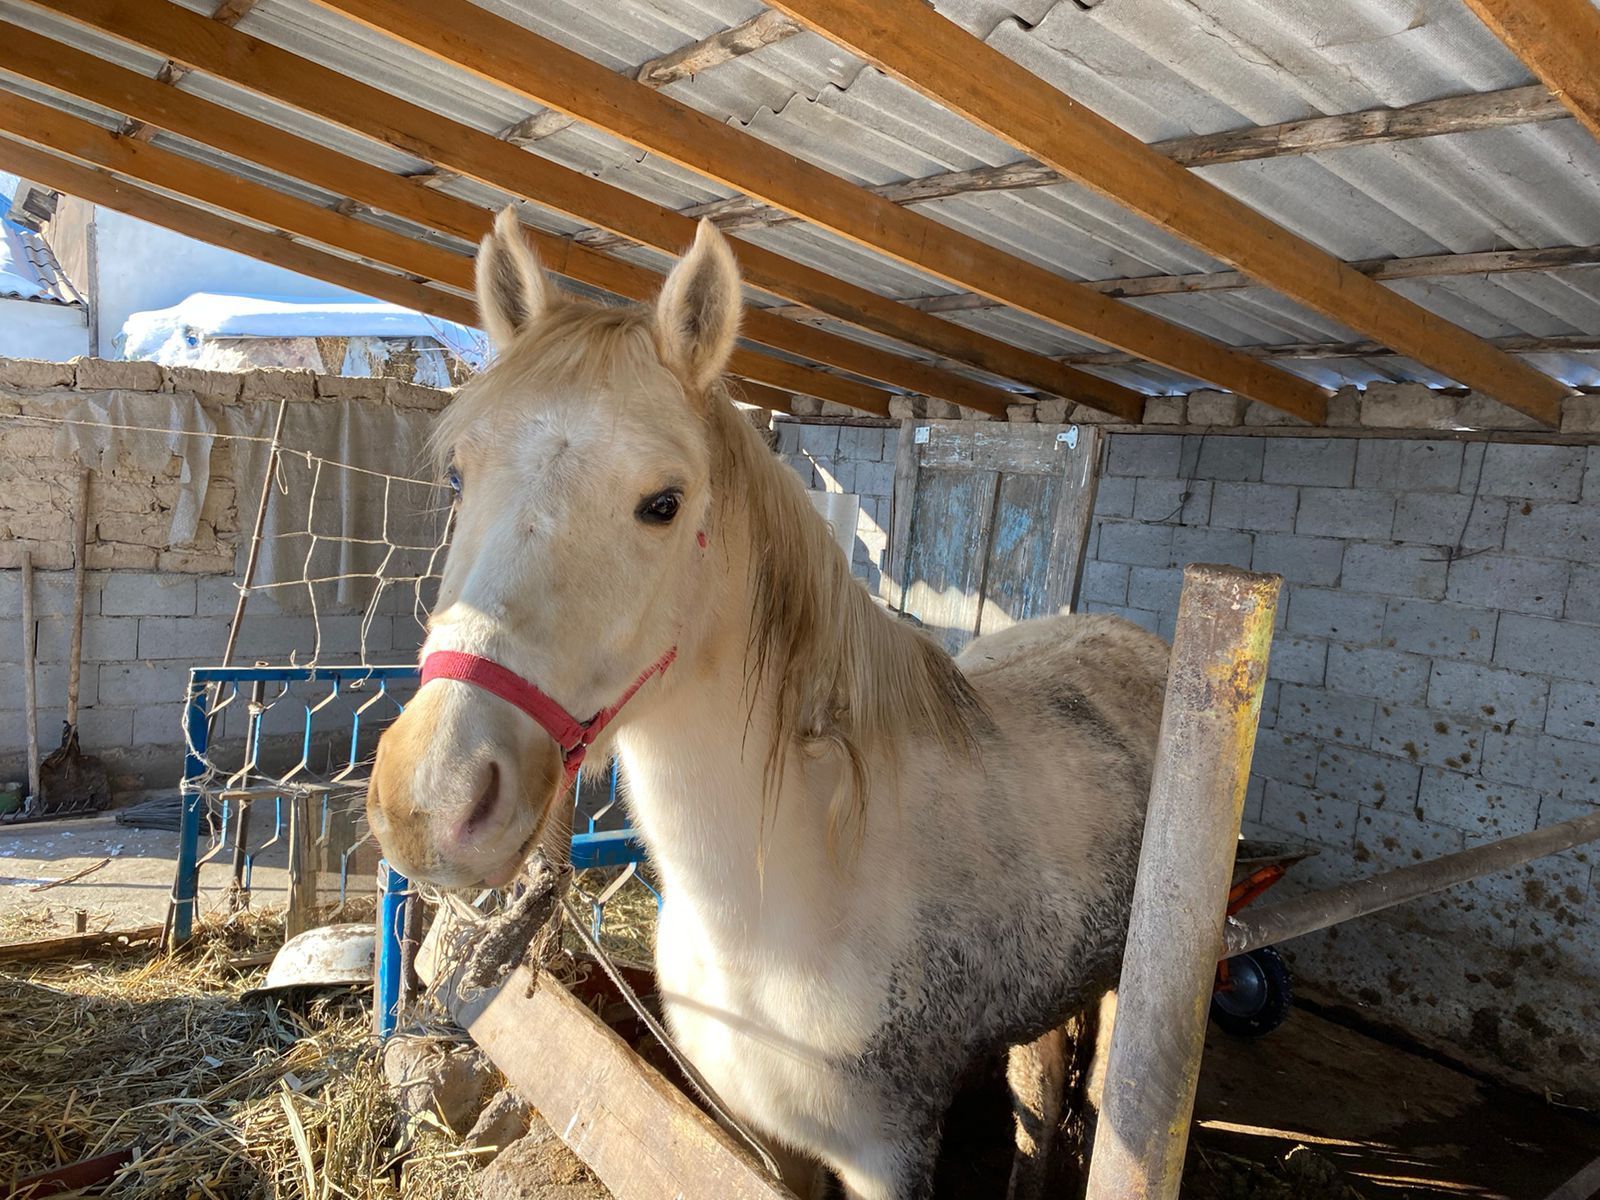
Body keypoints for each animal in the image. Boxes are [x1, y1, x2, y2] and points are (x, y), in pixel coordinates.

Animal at [366, 209, 1164, 1200]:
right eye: (457, 477)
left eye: (663, 503)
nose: (433, 800)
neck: (795, 891)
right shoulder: (761, 1138)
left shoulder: (887, 1155)